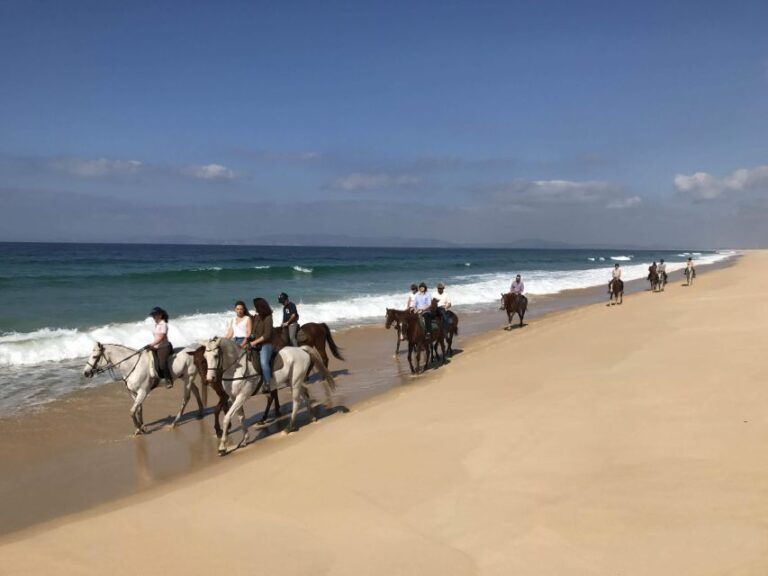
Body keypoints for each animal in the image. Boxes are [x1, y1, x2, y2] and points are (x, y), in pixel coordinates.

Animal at [204, 338, 336, 454]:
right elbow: (241, 418)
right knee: (305, 395)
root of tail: (301, 350)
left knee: (296, 402)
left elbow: (227, 418)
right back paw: (312, 417)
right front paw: (245, 440)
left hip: (295, 382)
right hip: (291, 382)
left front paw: (222, 448)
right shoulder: (234, 397)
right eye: (205, 357)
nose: (210, 379)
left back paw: (288, 428)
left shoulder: (242, 396)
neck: (236, 369)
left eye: (216, 356)